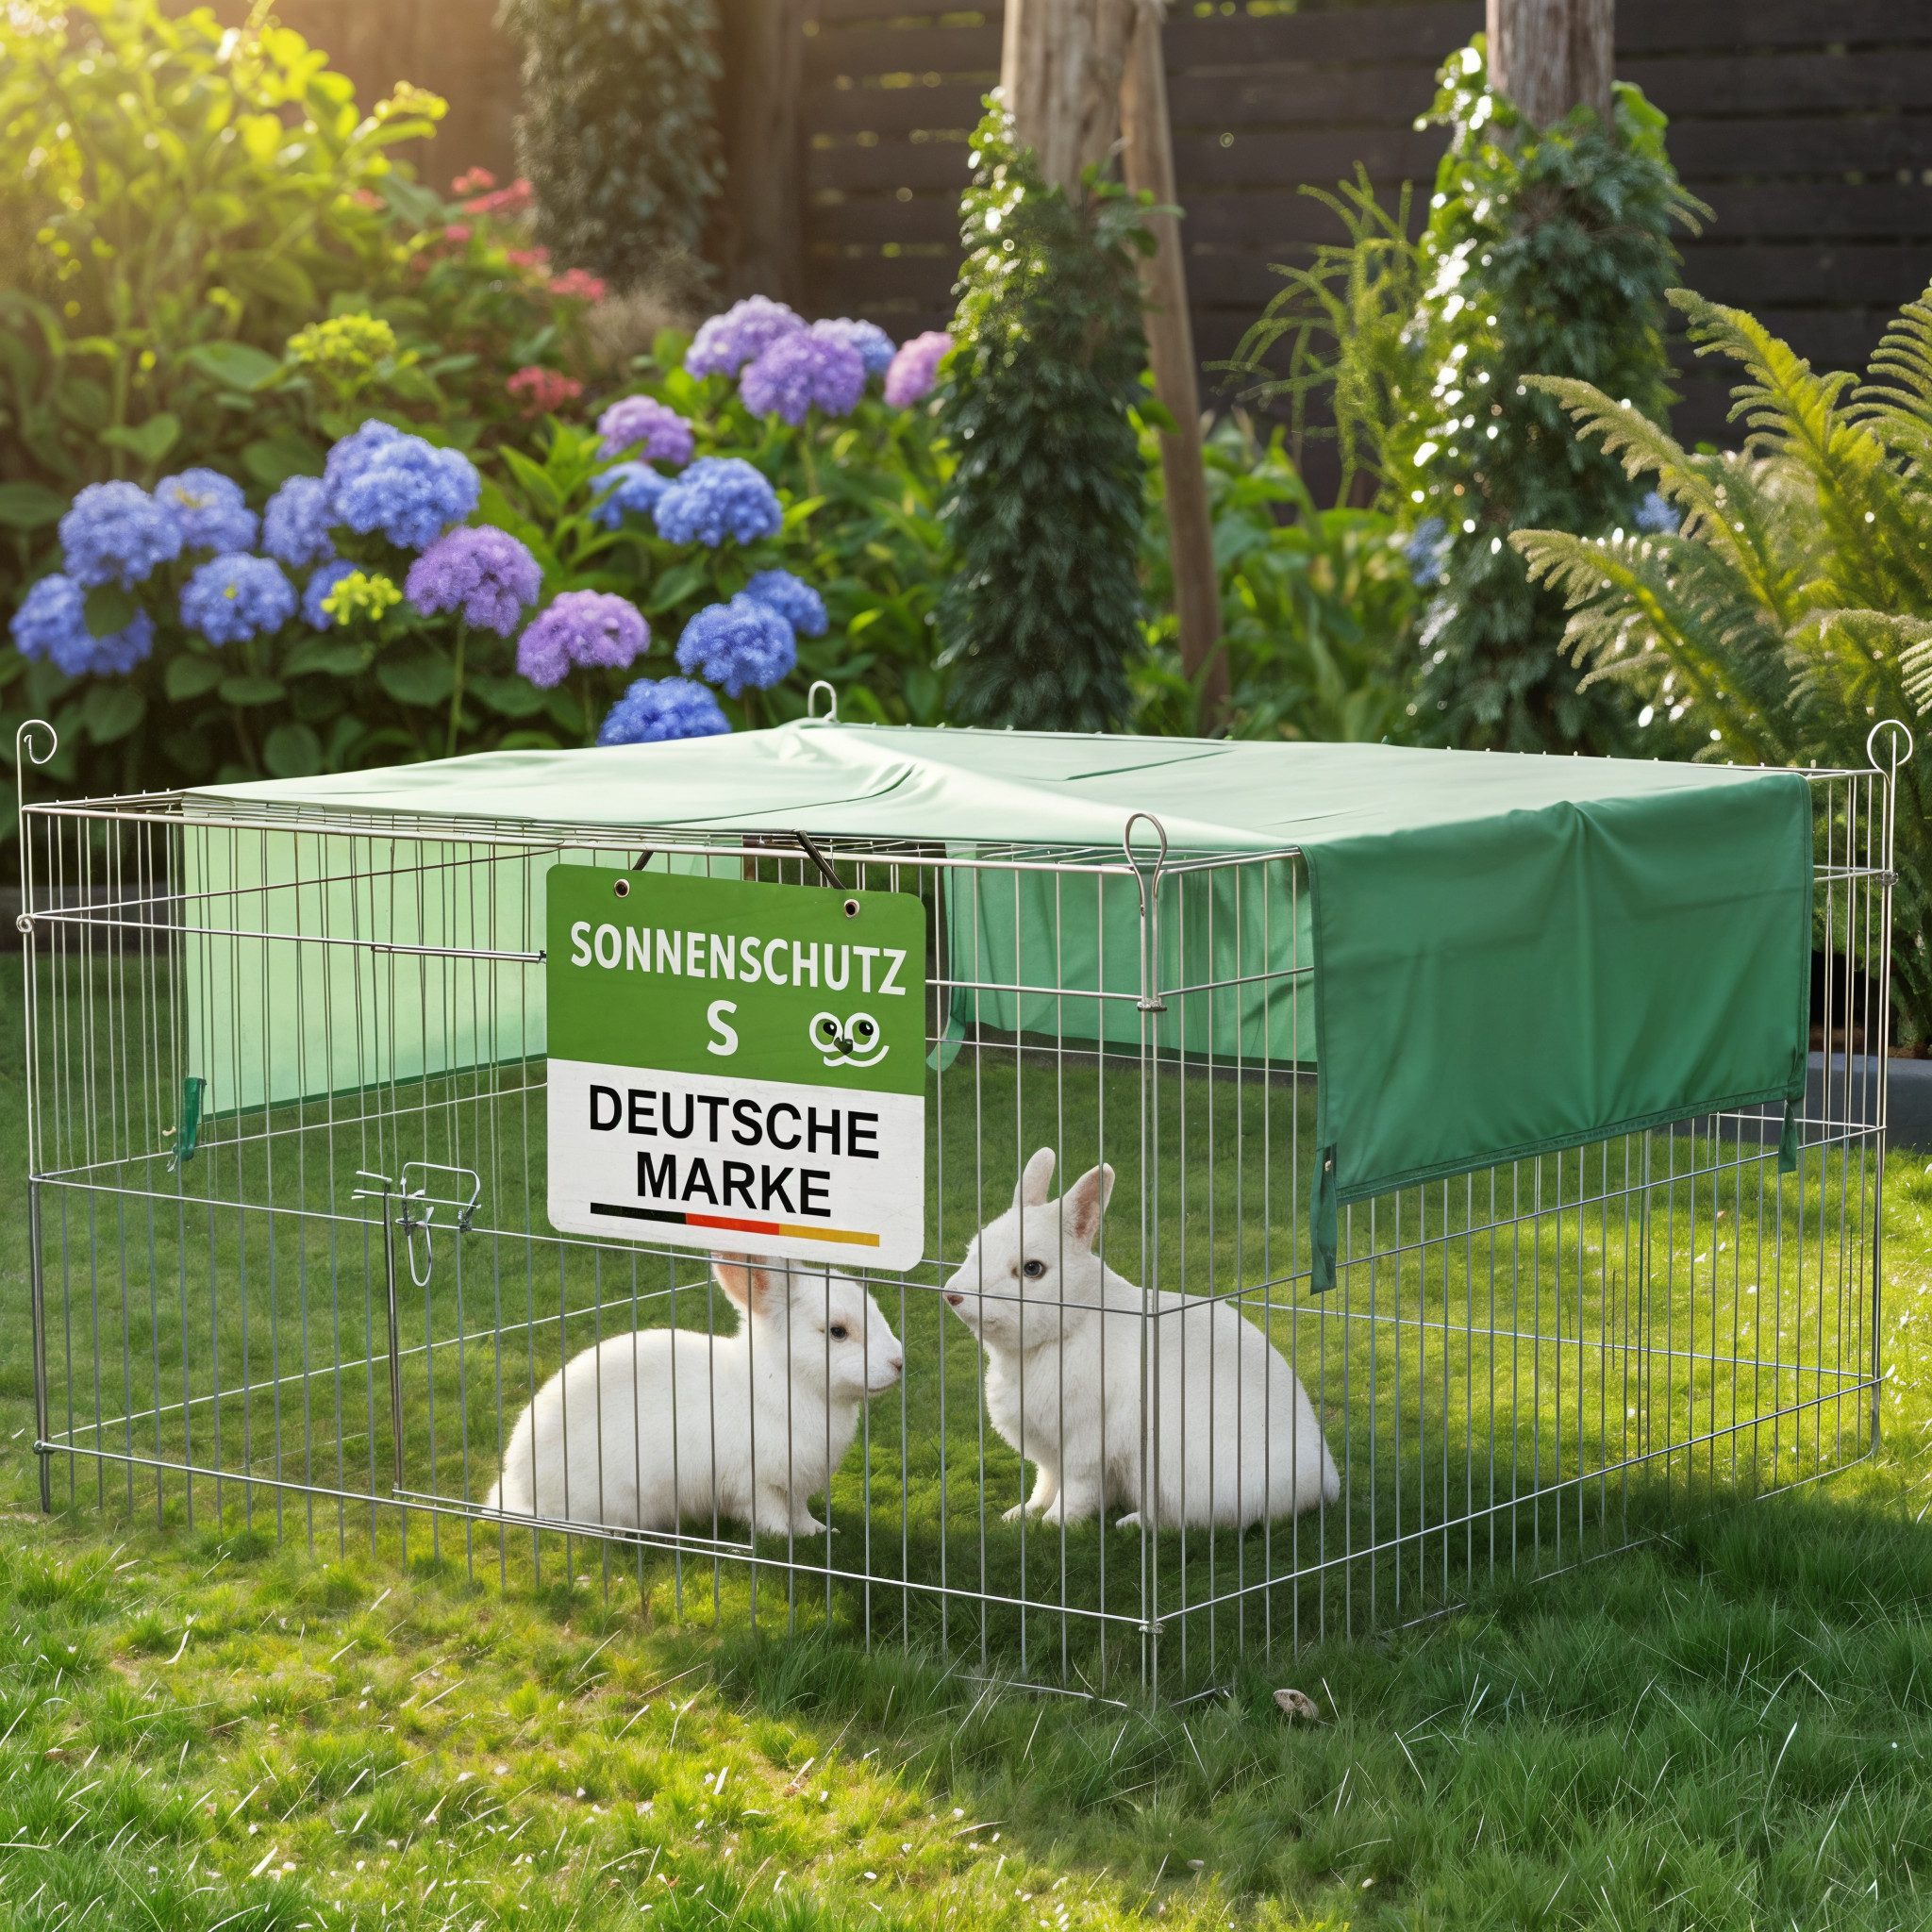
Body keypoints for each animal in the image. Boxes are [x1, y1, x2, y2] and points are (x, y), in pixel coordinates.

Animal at [484, 1253, 904, 1537]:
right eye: (837, 1331)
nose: (899, 1362)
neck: (785, 1379)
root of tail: (517, 1488)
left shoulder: (795, 1486)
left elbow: (800, 1512)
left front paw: (818, 1533)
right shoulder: (758, 1483)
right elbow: (771, 1516)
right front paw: (784, 1541)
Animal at [944, 1148, 1339, 1530]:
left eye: (1032, 1269)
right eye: (976, 1247)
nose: (953, 1295)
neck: (1067, 1326)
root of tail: (1323, 1482)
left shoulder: (1085, 1442)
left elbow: (1077, 1487)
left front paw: (1056, 1524)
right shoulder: (1048, 1451)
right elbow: (1045, 1483)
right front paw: (1020, 1515)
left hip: (1170, 1471)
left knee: (1182, 1521)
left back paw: (1129, 1523)